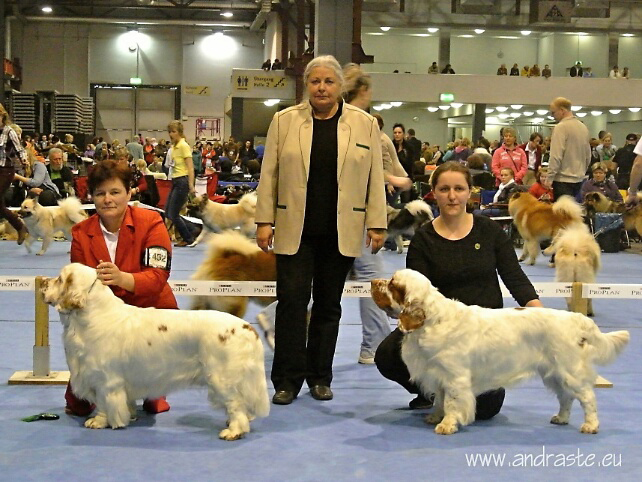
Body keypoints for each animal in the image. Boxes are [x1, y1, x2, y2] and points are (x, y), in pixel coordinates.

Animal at [42, 264, 268, 440]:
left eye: (60, 279)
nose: (42, 282)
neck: (92, 315)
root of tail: (247, 327)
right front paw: (130, 415)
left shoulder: (104, 379)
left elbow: (104, 403)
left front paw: (99, 421)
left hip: (221, 378)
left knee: (235, 404)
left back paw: (234, 431)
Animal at [370, 270, 624, 434]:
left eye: (392, 284)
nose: (372, 282)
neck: (433, 320)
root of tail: (576, 319)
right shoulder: (438, 374)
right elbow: (439, 400)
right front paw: (434, 417)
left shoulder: (455, 377)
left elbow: (452, 403)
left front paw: (447, 425)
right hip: (553, 373)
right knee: (566, 397)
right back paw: (561, 418)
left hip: (569, 370)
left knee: (587, 397)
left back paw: (591, 425)